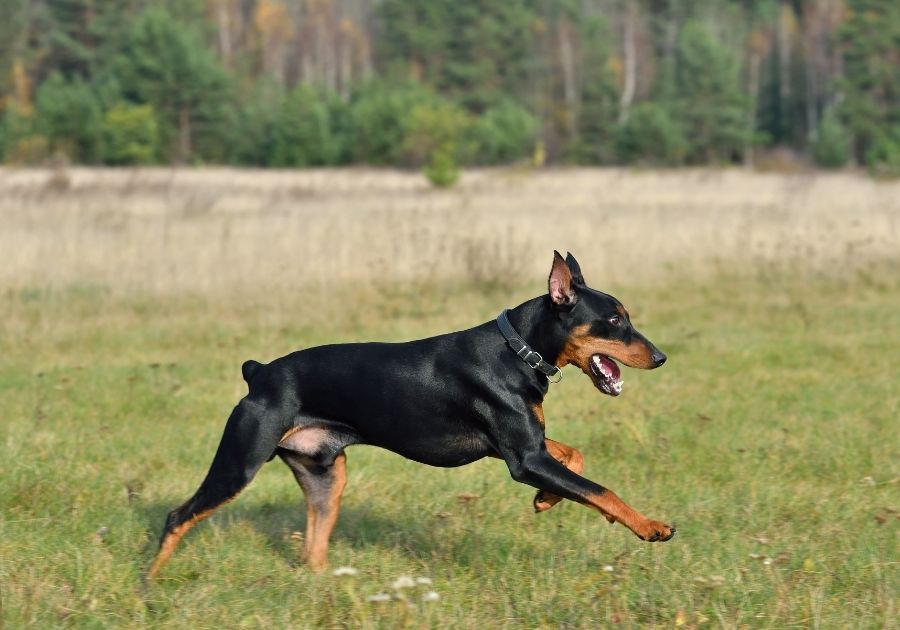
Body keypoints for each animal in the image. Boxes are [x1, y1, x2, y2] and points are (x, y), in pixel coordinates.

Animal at [144, 253, 672, 584]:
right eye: (615, 320)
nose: (661, 357)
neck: (517, 350)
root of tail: (259, 373)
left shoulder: (527, 448)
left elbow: (575, 458)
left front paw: (546, 500)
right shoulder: (523, 459)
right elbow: (601, 490)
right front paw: (651, 527)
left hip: (325, 475)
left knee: (312, 551)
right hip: (239, 464)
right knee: (177, 516)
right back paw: (149, 585)